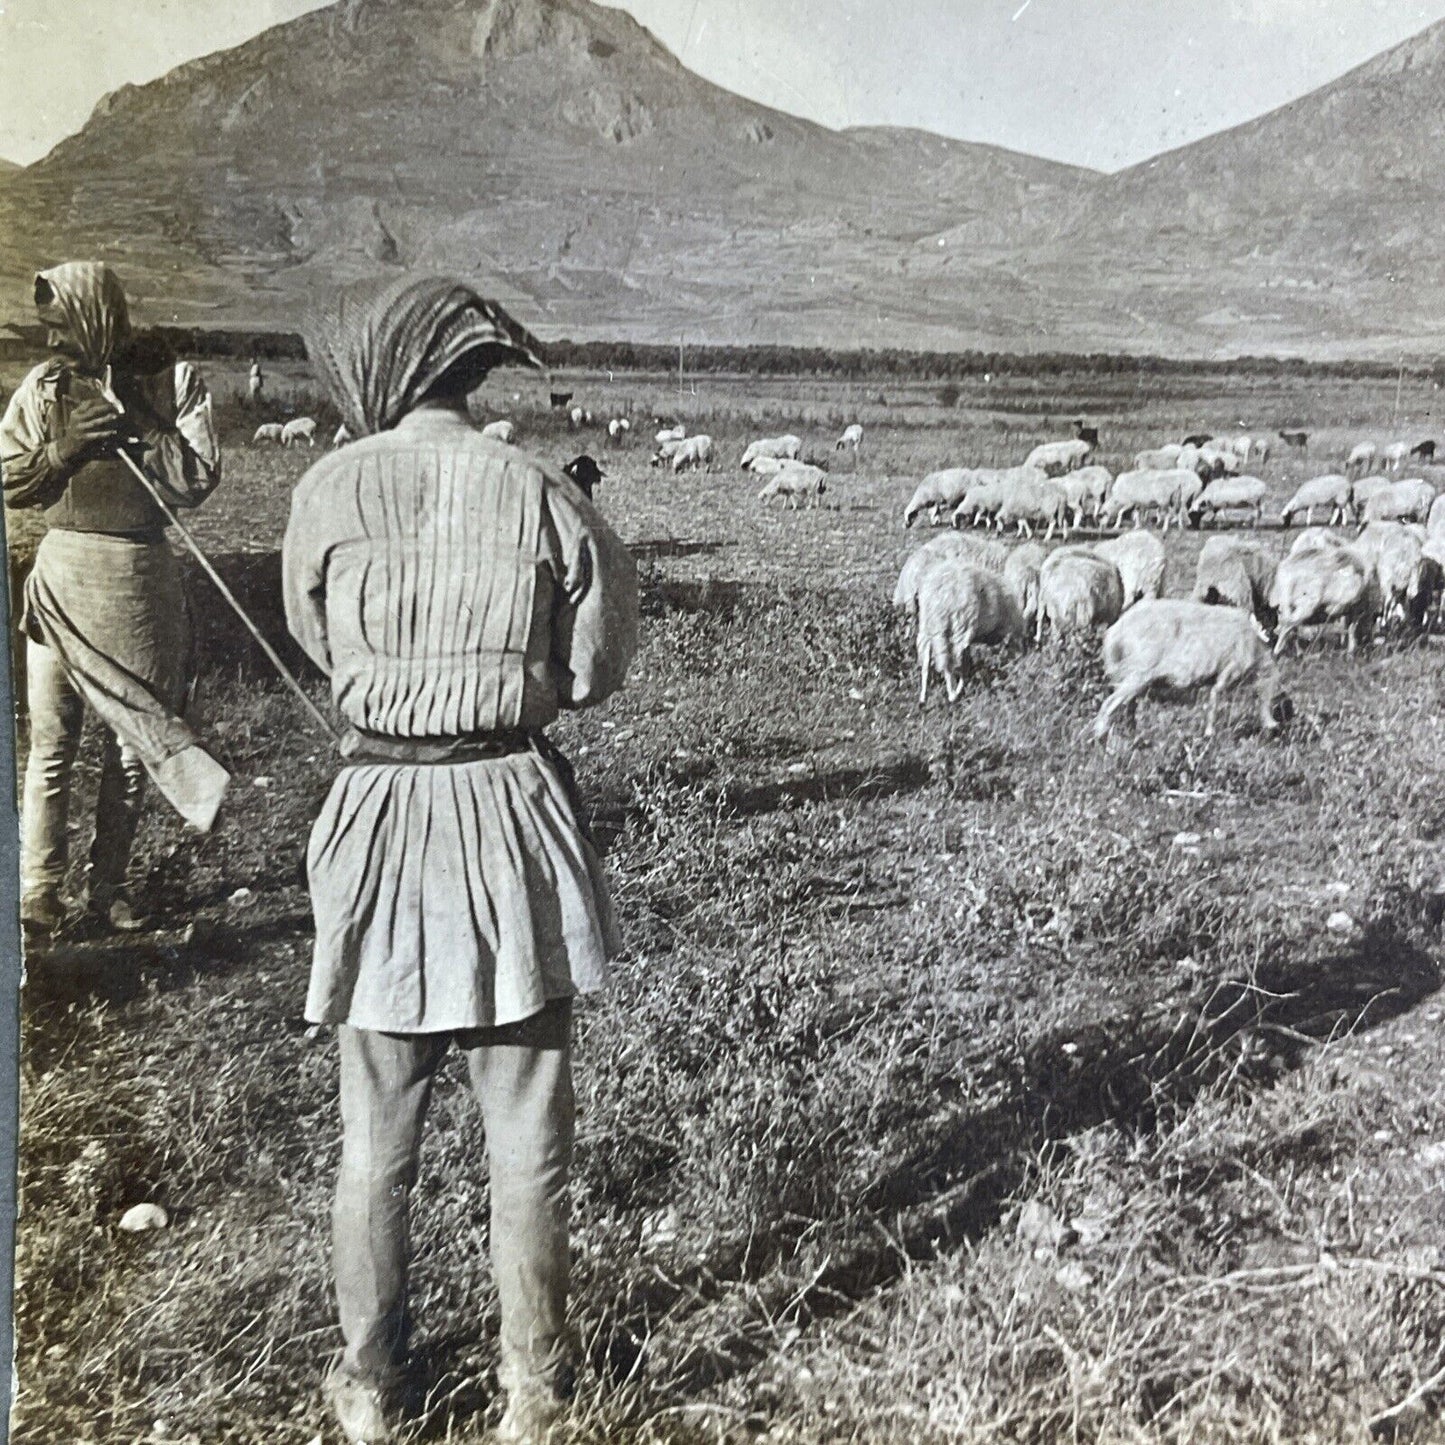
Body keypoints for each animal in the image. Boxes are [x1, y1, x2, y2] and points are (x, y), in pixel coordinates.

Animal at [913, 560, 1028, 702]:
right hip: (959, 627)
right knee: (952, 662)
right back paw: (954, 694)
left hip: (930, 628)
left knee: (928, 661)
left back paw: (924, 697)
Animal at [1092, 598, 1288, 739]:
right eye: (1265, 618)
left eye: (1275, 620)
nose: (1270, 634)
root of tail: (1116, 631)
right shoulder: (1229, 671)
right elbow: (1215, 699)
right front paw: (1209, 733)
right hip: (1139, 673)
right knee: (1109, 704)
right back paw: (1100, 738)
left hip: (1132, 676)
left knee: (1128, 707)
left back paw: (1131, 734)